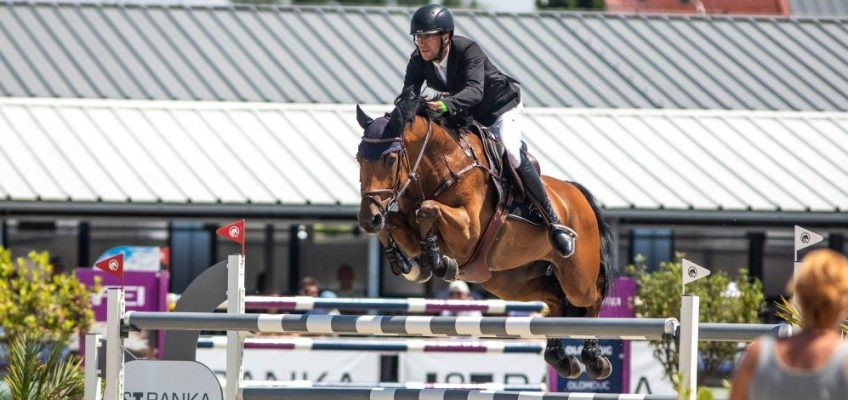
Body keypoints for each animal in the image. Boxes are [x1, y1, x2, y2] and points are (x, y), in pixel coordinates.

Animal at [354, 95, 612, 380]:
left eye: (390, 159)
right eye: (358, 158)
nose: (367, 219)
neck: (442, 167)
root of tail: (577, 194)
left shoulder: (469, 234)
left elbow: (428, 210)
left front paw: (438, 262)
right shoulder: (408, 226)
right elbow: (394, 223)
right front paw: (408, 265)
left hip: (577, 278)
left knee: (592, 298)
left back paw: (594, 358)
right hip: (509, 281)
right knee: (555, 301)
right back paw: (561, 359)